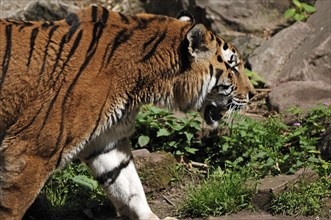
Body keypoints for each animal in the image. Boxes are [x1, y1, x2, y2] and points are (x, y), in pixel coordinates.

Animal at [0, 5, 255, 220]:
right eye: (233, 68)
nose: (253, 94)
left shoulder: (107, 141)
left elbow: (129, 187)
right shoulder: (30, 151)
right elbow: (12, 206)